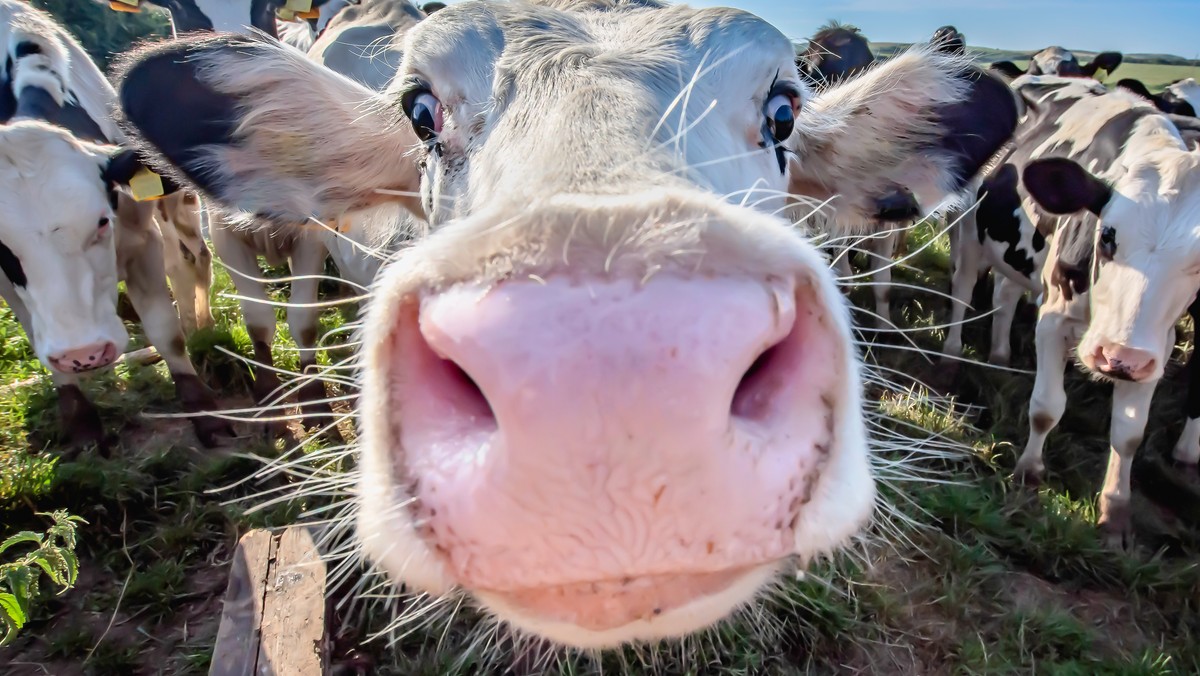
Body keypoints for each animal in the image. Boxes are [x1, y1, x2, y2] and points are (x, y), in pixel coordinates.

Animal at [0, 2, 228, 451]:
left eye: (102, 221)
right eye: (0, 246)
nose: (83, 354)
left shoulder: (142, 241)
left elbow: (165, 329)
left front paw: (204, 412)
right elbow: (38, 339)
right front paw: (81, 424)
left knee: (190, 261)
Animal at [936, 75, 1200, 549]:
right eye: (1108, 235)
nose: (1116, 358)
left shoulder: (1156, 348)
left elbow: (1129, 435)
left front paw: (1115, 516)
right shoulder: (1053, 319)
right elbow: (1046, 406)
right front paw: (1028, 473)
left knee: (1004, 295)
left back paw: (1000, 358)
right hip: (968, 232)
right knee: (963, 293)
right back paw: (950, 363)